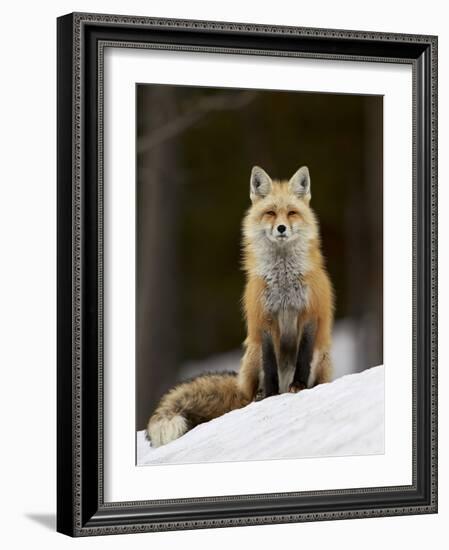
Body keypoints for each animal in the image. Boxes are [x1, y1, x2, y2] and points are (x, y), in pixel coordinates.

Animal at [147, 165, 332, 448]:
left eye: (291, 213)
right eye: (270, 213)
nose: (281, 228)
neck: (283, 280)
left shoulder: (309, 314)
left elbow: (302, 356)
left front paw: (299, 386)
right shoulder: (263, 319)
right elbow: (270, 365)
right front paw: (271, 395)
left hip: (321, 357)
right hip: (252, 354)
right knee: (251, 389)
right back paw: (259, 396)